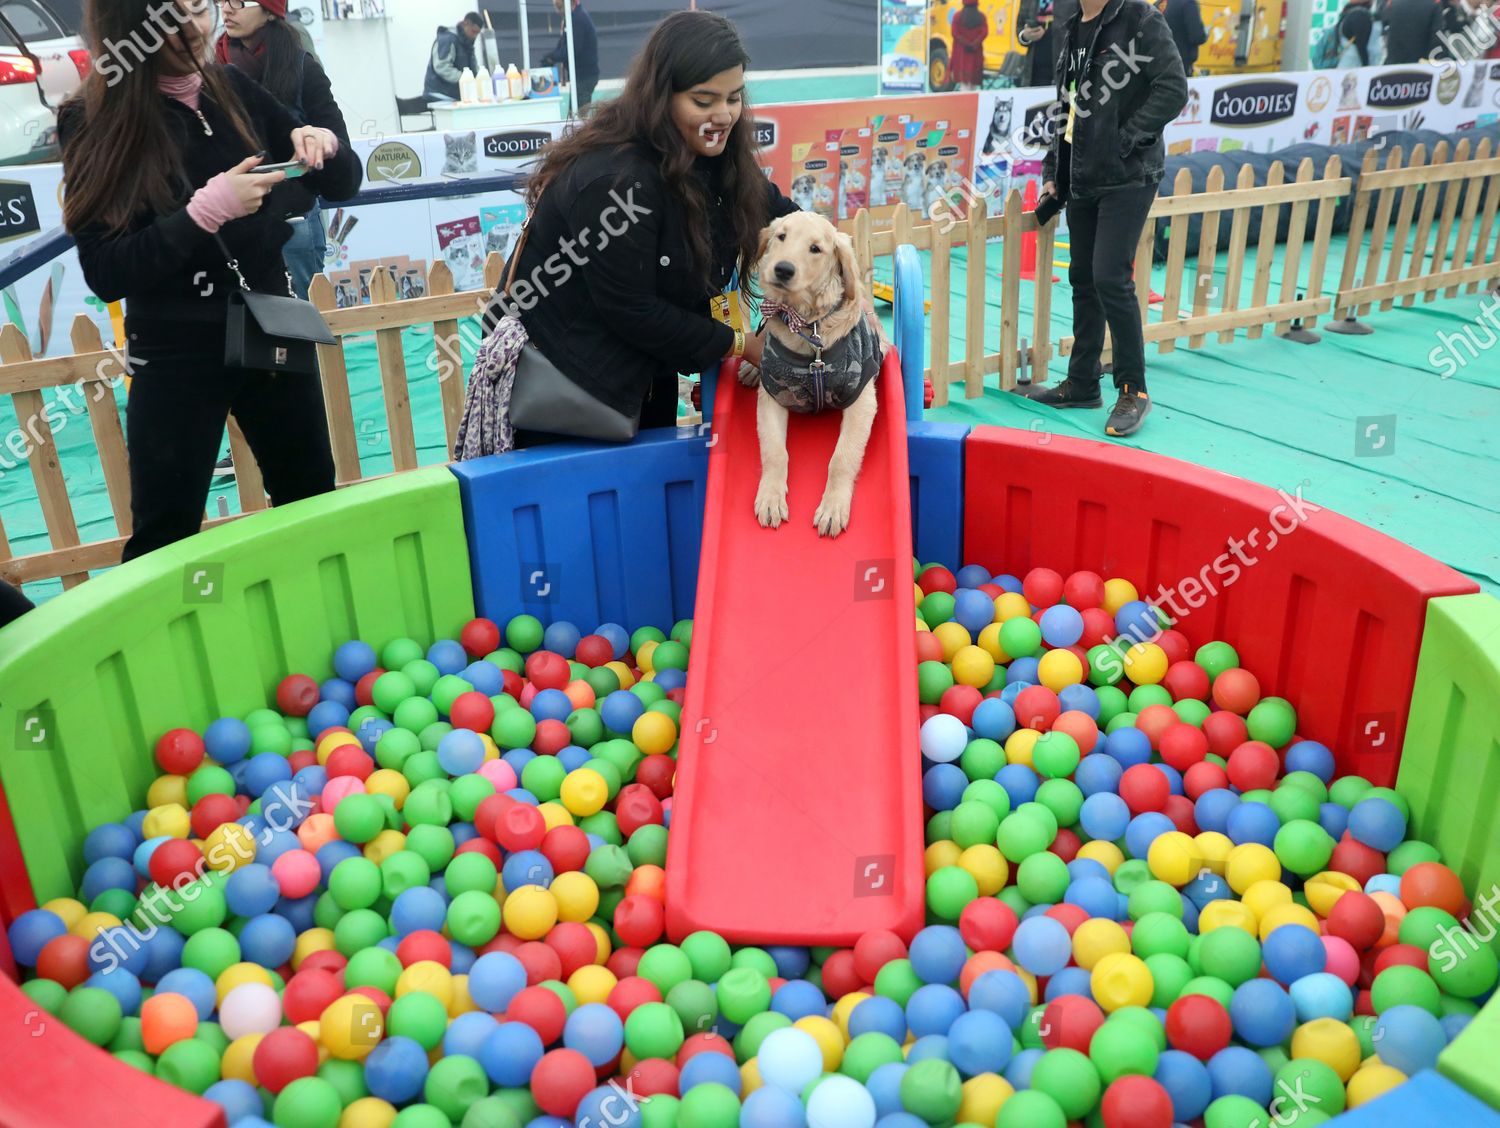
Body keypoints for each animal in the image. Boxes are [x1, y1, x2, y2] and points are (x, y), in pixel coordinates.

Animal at [741, 216, 882, 543]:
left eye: (815, 248)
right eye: (781, 236)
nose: (782, 269)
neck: (808, 325)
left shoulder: (862, 399)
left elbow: (842, 457)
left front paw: (833, 508)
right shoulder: (773, 394)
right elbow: (774, 451)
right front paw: (770, 497)